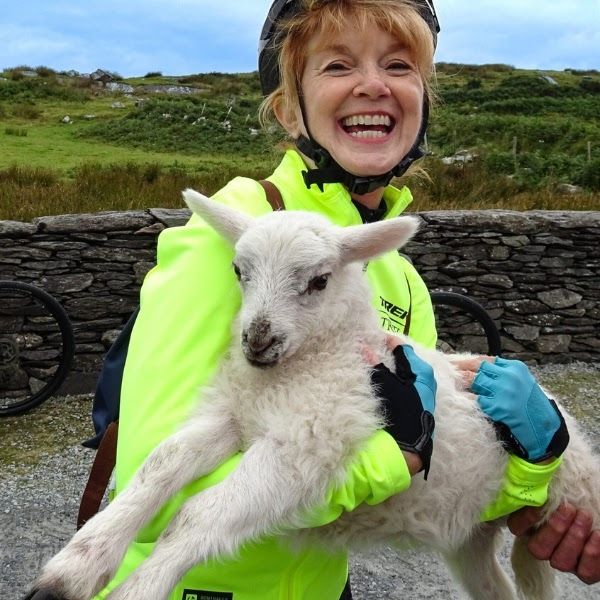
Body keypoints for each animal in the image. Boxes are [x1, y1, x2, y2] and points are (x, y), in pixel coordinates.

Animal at [30, 189, 600, 600]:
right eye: (238, 271)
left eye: (320, 280)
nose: (257, 341)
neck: (299, 369)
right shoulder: (232, 417)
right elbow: (160, 464)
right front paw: (74, 569)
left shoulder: (305, 444)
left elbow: (200, 514)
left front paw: (137, 587)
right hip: (473, 535)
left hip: (577, 497)